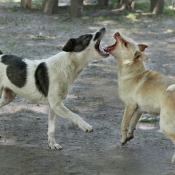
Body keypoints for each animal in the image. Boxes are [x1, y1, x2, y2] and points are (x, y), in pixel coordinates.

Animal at [104, 31, 175, 163]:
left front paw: (123, 140)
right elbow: (132, 125)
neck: (134, 73)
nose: (117, 32)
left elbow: (123, 124)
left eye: (125, 44)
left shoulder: (129, 107)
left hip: (165, 125)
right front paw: (129, 137)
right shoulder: (138, 110)